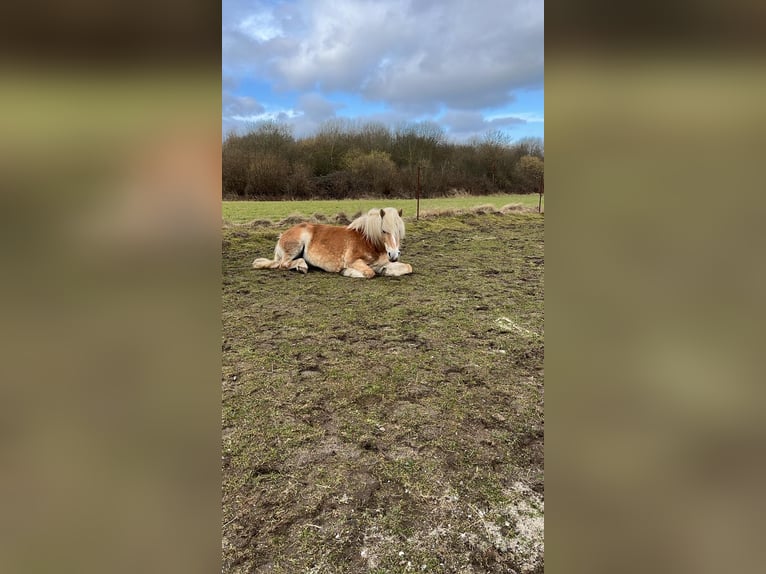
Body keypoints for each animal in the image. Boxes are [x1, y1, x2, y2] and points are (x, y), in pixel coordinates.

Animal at [252, 207, 413, 278]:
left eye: (399, 231)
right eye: (384, 230)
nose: (393, 255)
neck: (368, 241)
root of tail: (283, 235)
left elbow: (408, 267)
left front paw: (386, 270)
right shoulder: (353, 261)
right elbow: (369, 272)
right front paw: (347, 271)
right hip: (295, 247)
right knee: (283, 264)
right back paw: (302, 266)